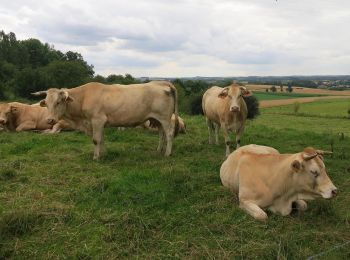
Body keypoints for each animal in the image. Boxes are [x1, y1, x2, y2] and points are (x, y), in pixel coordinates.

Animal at [31, 81, 179, 159]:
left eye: (58, 102)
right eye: (47, 103)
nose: (50, 120)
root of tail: (160, 82)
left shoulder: (97, 120)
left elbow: (96, 140)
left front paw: (96, 157)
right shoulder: (99, 123)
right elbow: (101, 139)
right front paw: (104, 153)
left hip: (165, 118)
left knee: (169, 134)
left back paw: (167, 153)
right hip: (157, 119)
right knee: (162, 135)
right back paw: (159, 150)